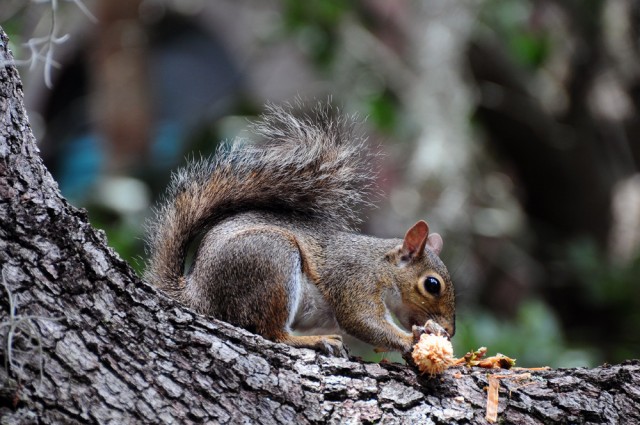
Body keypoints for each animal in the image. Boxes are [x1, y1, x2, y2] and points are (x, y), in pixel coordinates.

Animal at [145, 104, 456, 356]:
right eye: (432, 285)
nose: (451, 331)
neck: (382, 264)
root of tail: (198, 293)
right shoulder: (356, 280)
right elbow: (361, 320)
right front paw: (411, 340)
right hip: (272, 258)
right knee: (271, 333)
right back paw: (315, 340)